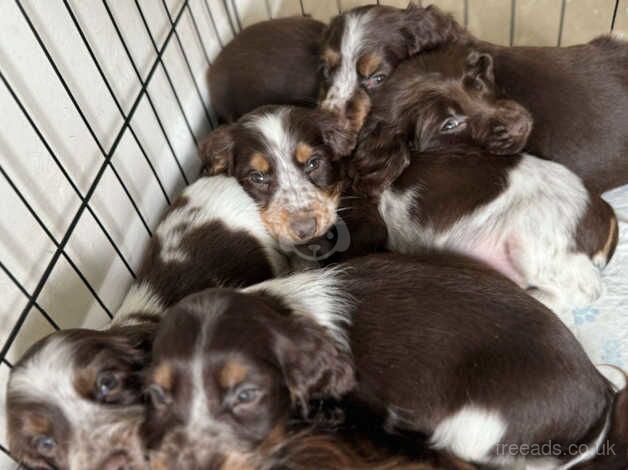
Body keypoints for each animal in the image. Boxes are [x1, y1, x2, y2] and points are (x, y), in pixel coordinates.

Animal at [348, 45, 620, 316]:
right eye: (449, 123)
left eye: (479, 84)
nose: (521, 124)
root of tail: (604, 211)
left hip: (535, 243)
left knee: (586, 288)